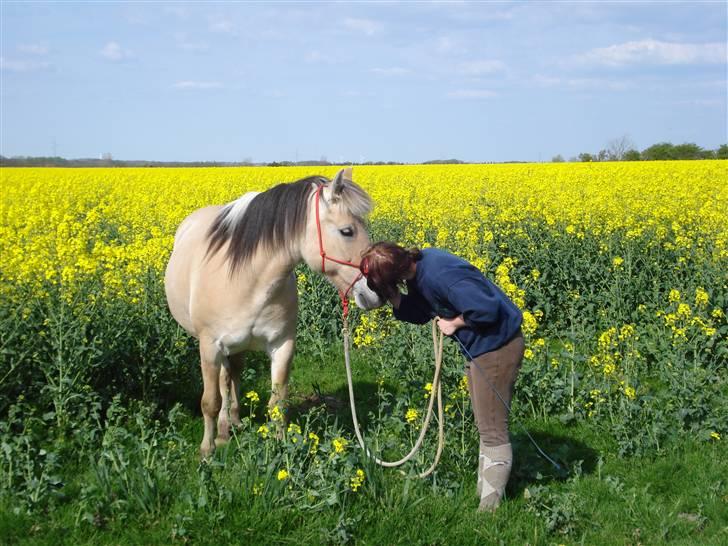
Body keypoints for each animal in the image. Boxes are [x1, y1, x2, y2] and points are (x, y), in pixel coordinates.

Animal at [164, 167, 382, 454]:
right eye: (347, 231)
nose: (376, 292)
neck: (247, 281)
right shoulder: (209, 348)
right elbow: (210, 402)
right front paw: (207, 450)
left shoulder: (283, 346)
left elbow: (278, 402)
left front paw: (280, 446)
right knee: (224, 381)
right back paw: (222, 431)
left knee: (233, 375)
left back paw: (233, 421)